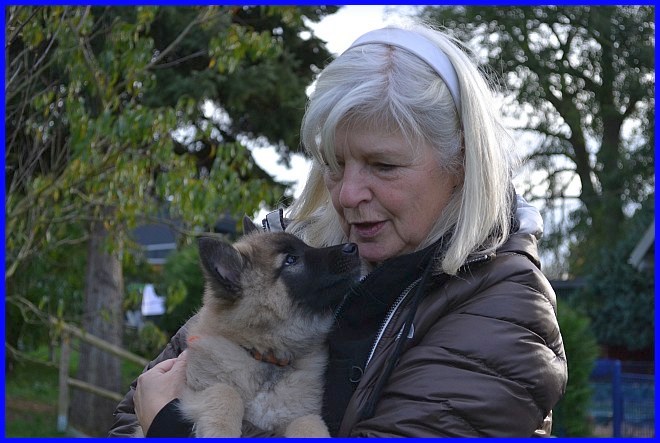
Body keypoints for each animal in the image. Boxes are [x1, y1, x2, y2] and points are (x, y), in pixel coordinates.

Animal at [137, 216, 361, 437]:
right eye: (291, 259)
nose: (353, 247)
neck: (265, 357)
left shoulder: (300, 414)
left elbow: (309, 424)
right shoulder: (189, 394)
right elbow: (225, 392)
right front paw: (222, 432)